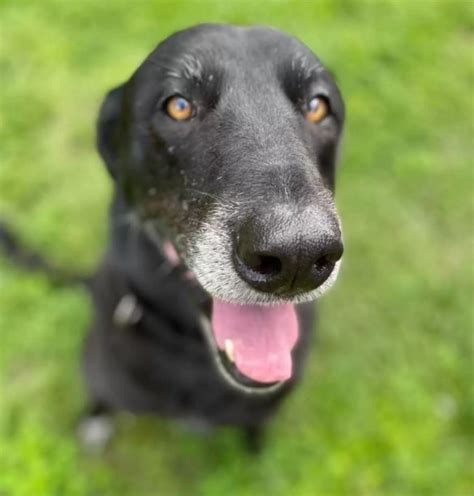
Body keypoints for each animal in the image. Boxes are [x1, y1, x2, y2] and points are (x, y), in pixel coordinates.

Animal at [1, 23, 346, 450]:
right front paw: (94, 427)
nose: (297, 255)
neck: (192, 349)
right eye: (178, 106)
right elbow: (100, 402)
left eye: (317, 106)